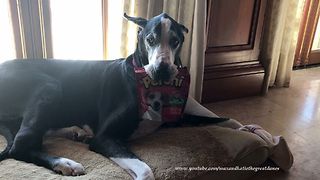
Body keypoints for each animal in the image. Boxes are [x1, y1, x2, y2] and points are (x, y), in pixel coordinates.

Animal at [0, 13, 240, 180]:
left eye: (176, 40)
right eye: (150, 39)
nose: (162, 70)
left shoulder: (177, 118)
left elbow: (221, 119)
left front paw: (248, 130)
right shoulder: (105, 138)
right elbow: (146, 170)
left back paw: (76, 132)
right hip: (49, 85)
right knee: (20, 144)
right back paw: (65, 163)